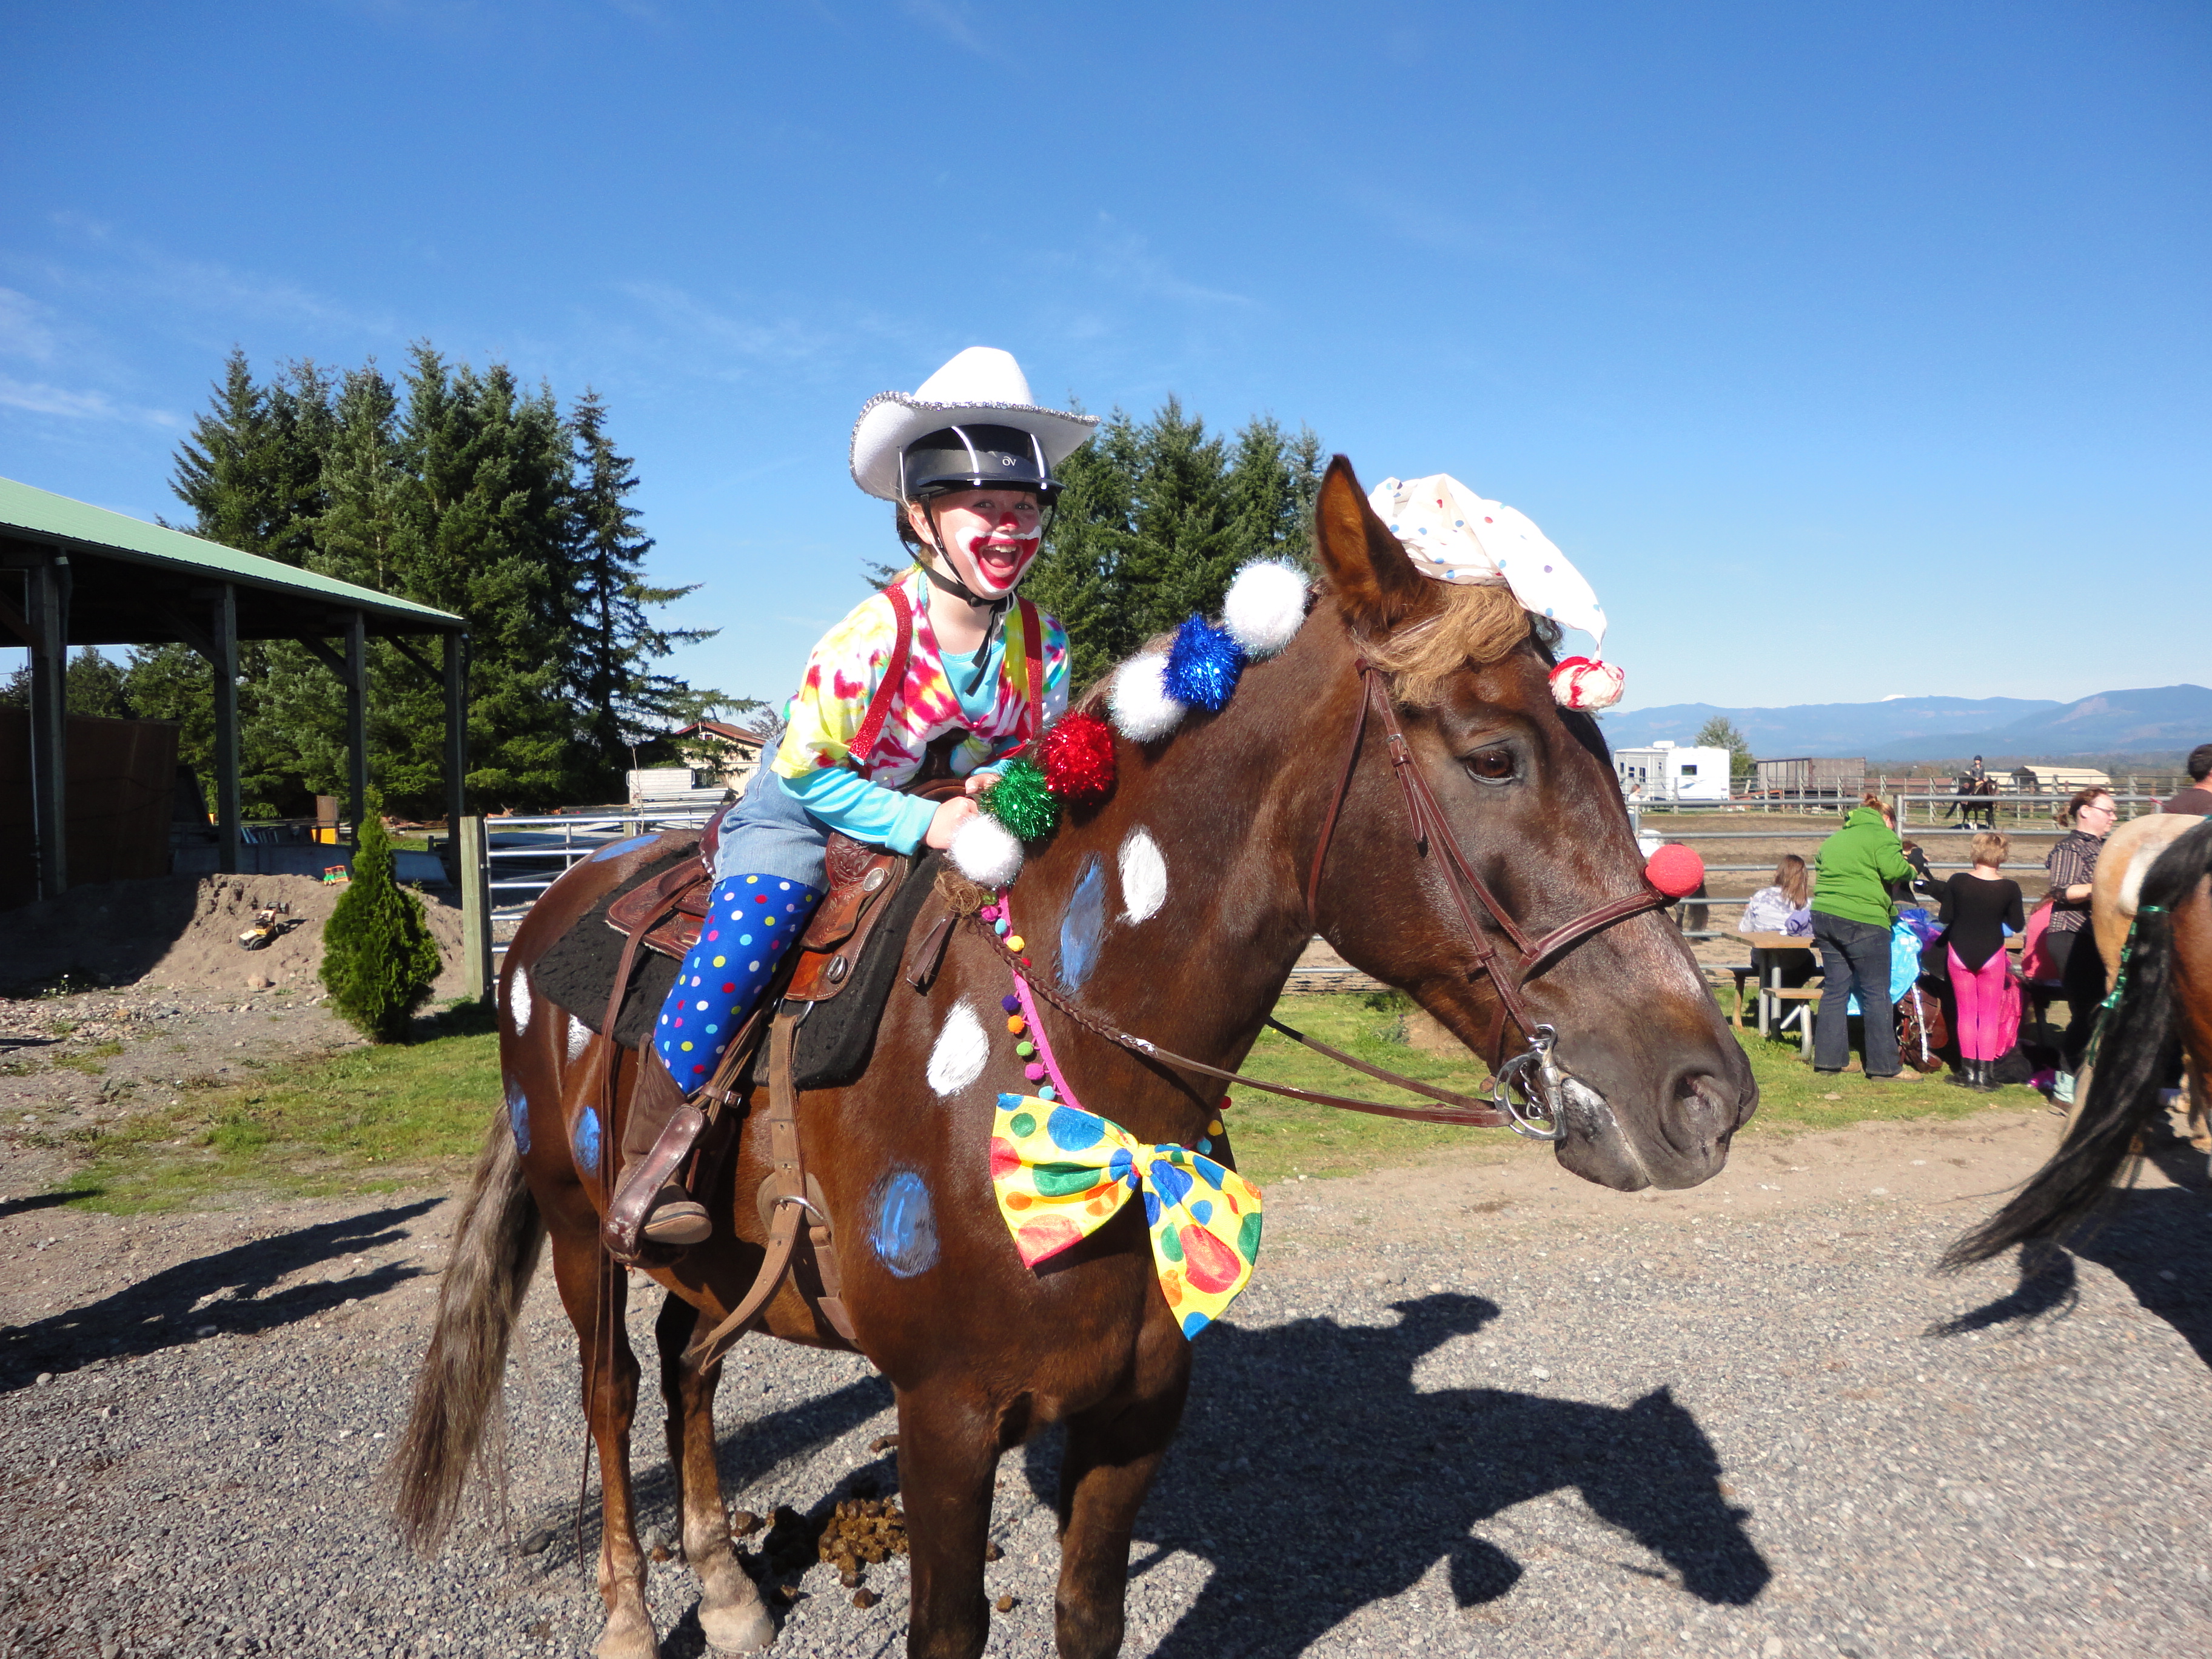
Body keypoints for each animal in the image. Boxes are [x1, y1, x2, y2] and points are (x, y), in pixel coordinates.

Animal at [389, 462, 1752, 1659]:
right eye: (1490, 756)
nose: (1707, 1096)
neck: (1079, 1083)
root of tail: (554, 905)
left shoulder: (1137, 1413)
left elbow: (1088, 1614)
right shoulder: (944, 1421)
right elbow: (946, 1629)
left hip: (721, 1255)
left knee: (690, 1367)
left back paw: (726, 1592)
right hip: (583, 1231)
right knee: (615, 1390)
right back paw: (631, 1614)